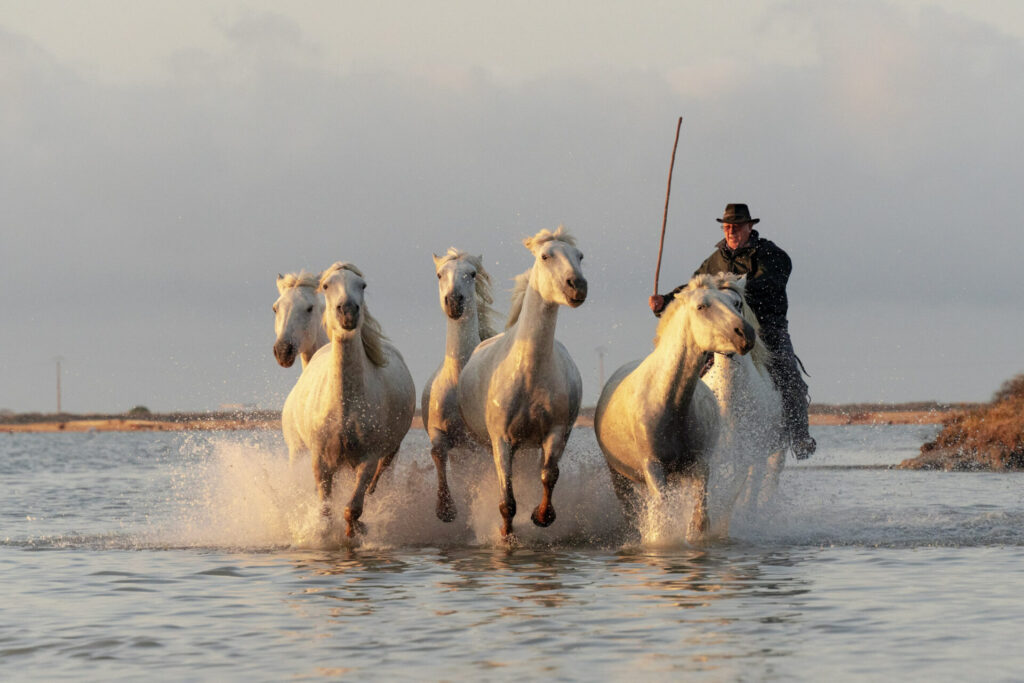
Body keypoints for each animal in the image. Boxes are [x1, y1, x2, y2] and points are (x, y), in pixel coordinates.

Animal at [281, 262, 415, 538]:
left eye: (362, 285)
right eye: (326, 285)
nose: (349, 311)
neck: (344, 406)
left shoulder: (367, 460)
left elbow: (351, 509)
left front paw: (355, 532)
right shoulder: (320, 462)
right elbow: (325, 511)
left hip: (389, 454)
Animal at [421, 248, 500, 523]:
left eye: (473, 273)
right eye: (439, 274)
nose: (454, 301)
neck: (458, 379)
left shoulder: (479, 442)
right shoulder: (439, 431)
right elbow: (437, 453)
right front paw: (445, 509)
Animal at [456, 226, 587, 538]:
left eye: (580, 256)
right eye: (545, 256)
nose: (577, 286)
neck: (529, 374)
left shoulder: (555, 432)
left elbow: (549, 474)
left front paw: (542, 516)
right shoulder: (501, 440)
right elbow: (507, 499)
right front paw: (506, 535)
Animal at [593, 274, 756, 540]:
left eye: (736, 303)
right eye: (702, 306)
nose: (746, 334)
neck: (670, 404)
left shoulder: (698, 465)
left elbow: (699, 518)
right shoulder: (653, 467)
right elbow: (662, 518)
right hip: (620, 476)